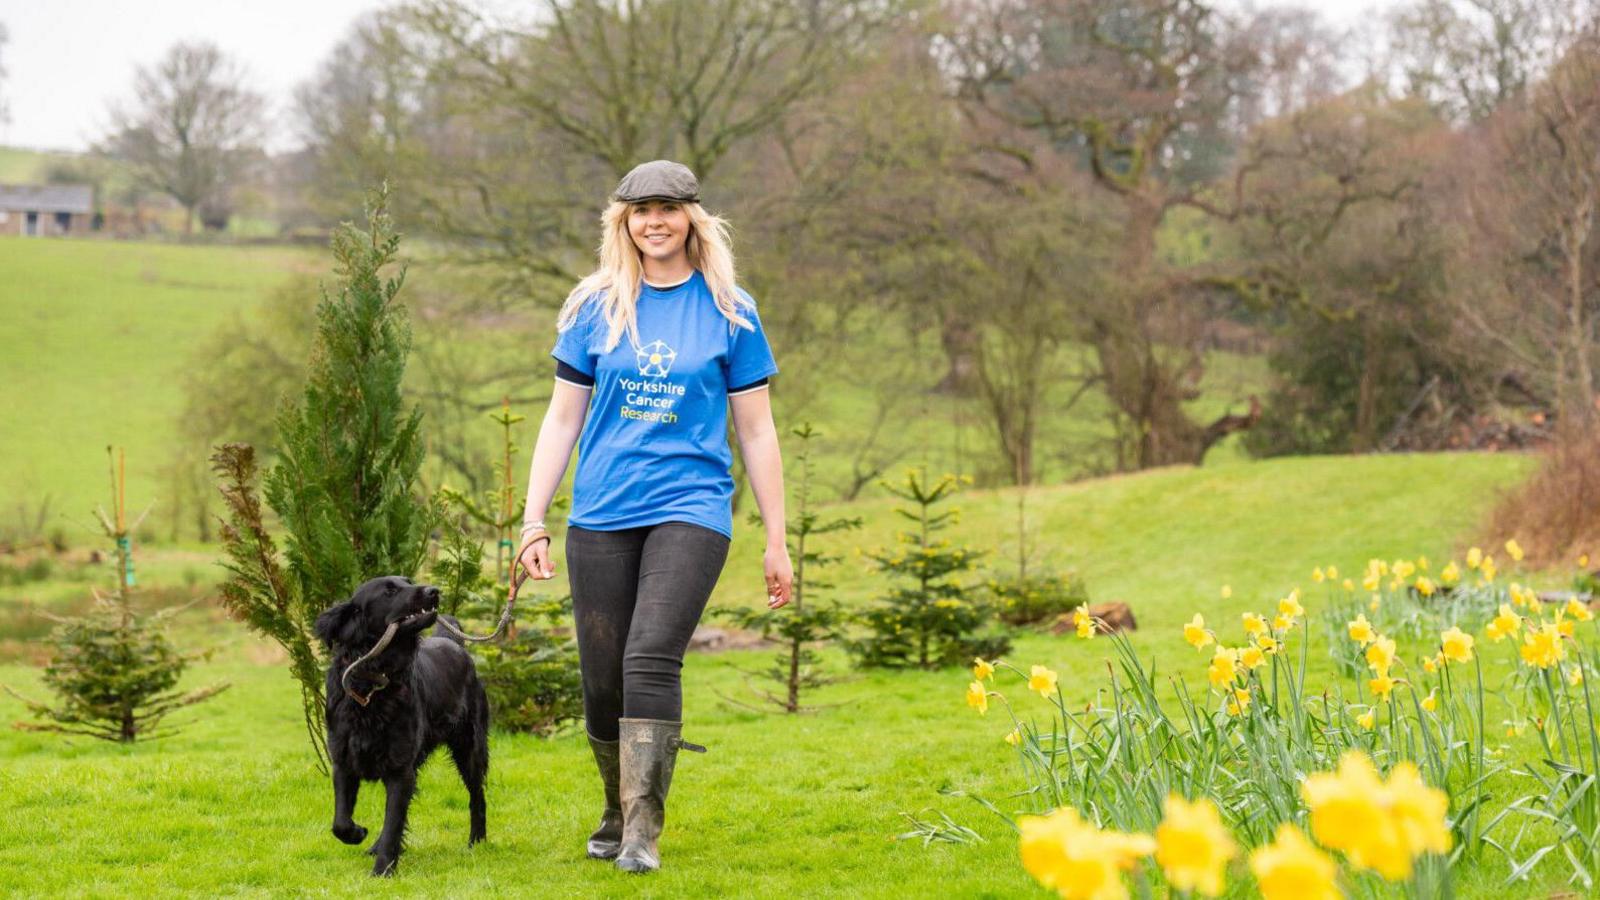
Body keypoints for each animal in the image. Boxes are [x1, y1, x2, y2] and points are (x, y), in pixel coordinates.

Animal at [310, 573, 486, 877]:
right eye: (389, 591)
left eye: (408, 581)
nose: (434, 591)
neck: (373, 687)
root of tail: (451, 641)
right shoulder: (343, 761)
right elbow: (340, 823)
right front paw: (358, 834)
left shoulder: (400, 770)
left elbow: (393, 822)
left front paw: (382, 871)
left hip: (469, 749)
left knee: (477, 797)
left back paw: (477, 842)